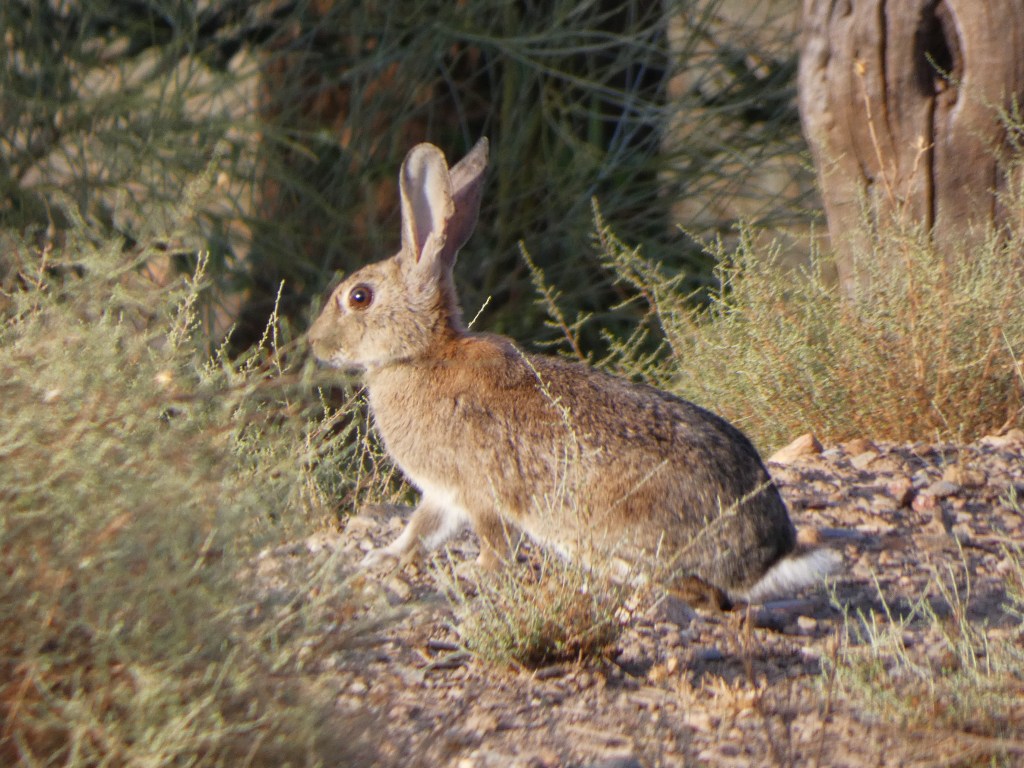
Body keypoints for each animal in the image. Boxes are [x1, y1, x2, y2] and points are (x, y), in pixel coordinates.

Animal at [308, 138, 838, 607]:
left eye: (359, 297)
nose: (315, 343)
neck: (422, 353)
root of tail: (763, 560)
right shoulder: (442, 496)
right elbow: (419, 532)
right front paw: (382, 557)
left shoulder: (478, 492)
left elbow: (490, 542)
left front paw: (473, 572)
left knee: (697, 593)